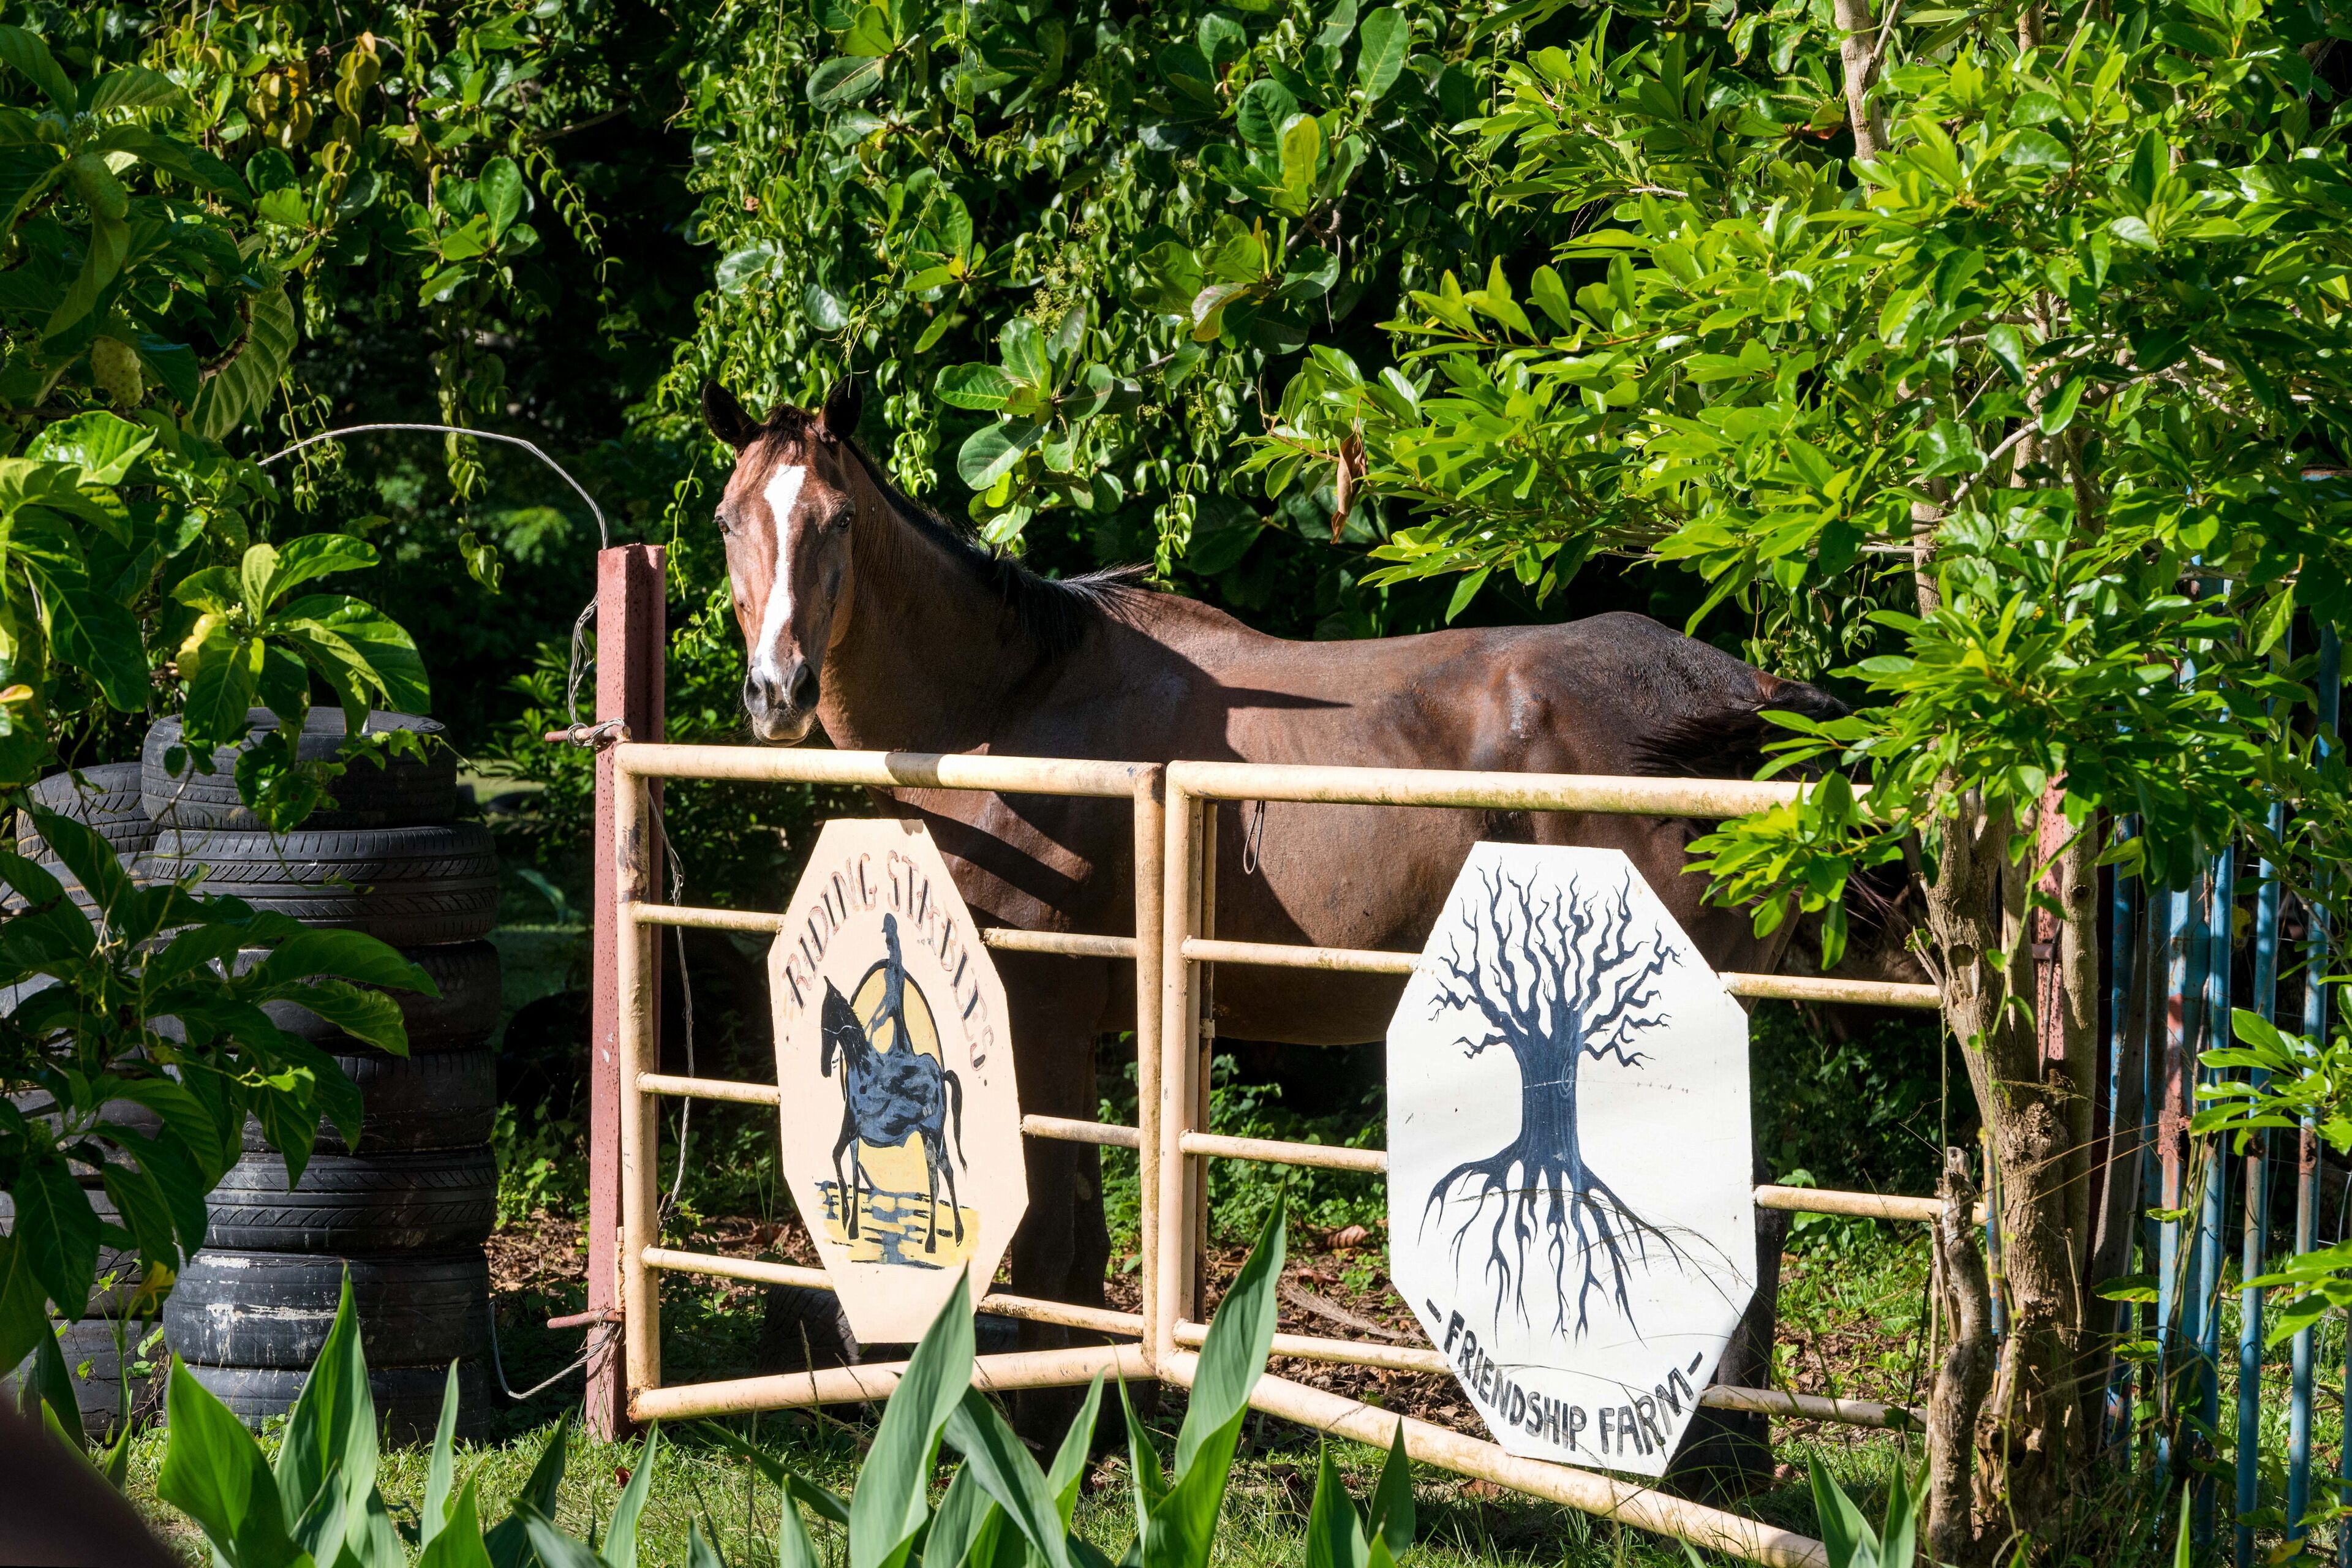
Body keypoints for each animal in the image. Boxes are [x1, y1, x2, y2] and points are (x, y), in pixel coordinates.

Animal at [818, 965, 969, 1255]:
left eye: (828, 1014)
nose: (824, 1067)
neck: (862, 1068)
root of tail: (941, 1074)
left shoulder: (849, 1129)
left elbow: (835, 1157)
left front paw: (845, 1217)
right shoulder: (854, 1136)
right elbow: (854, 1173)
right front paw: (852, 1227)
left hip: (931, 1135)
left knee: (935, 1181)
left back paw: (931, 1243)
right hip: (936, 1138)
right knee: (948, 1172)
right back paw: (957, 1234)